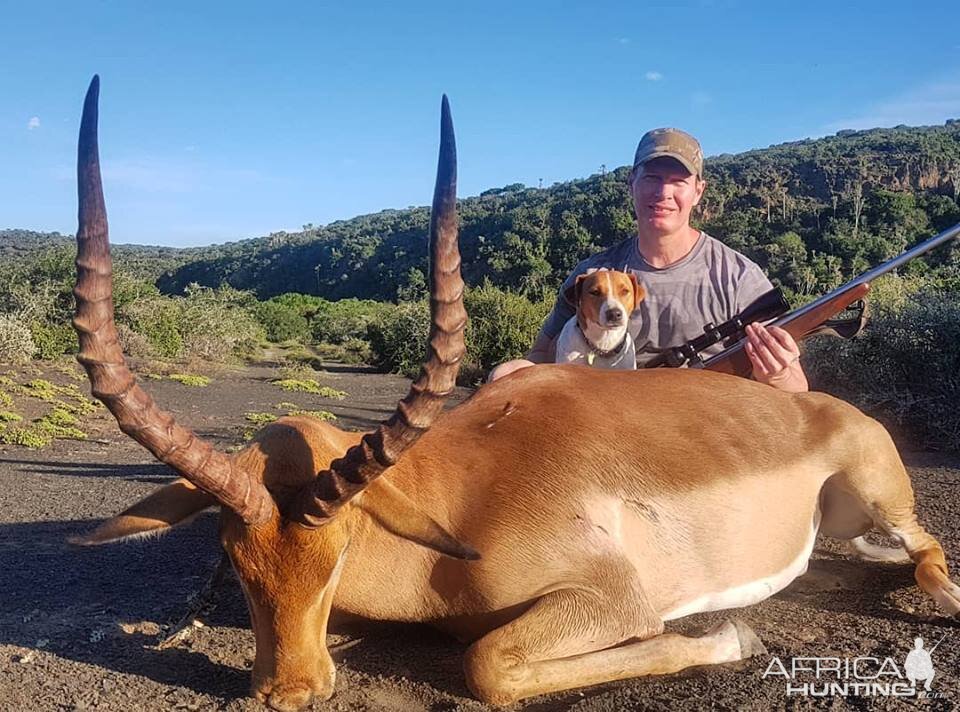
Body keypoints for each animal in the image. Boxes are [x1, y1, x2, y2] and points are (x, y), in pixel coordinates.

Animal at [71, 75, 956, 708]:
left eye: (342, 547)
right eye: (232, 552)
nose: (289, 692)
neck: (463, 492)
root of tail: (829, 410)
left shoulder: (615, 600)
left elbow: (489, 664)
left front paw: (732, 640)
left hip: (880, 496)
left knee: (928, 552)